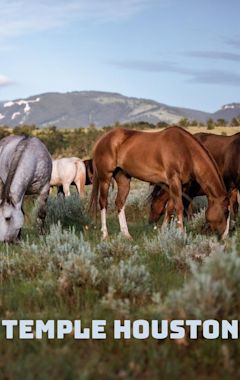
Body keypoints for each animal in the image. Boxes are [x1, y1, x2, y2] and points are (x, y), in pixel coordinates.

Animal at [90, 127, 231, 240]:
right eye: (225, 211)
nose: (225, 237)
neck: (185, 150)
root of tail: (102, 139)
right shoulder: (174, 181)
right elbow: (179, 207)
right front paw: (181, 234)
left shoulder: (178, 185)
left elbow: (170, 208)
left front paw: (164, 232)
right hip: (105, 178)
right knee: (103, 203)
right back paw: (105, 235)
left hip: (123, 179)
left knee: (119, 203)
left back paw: (127, 235)